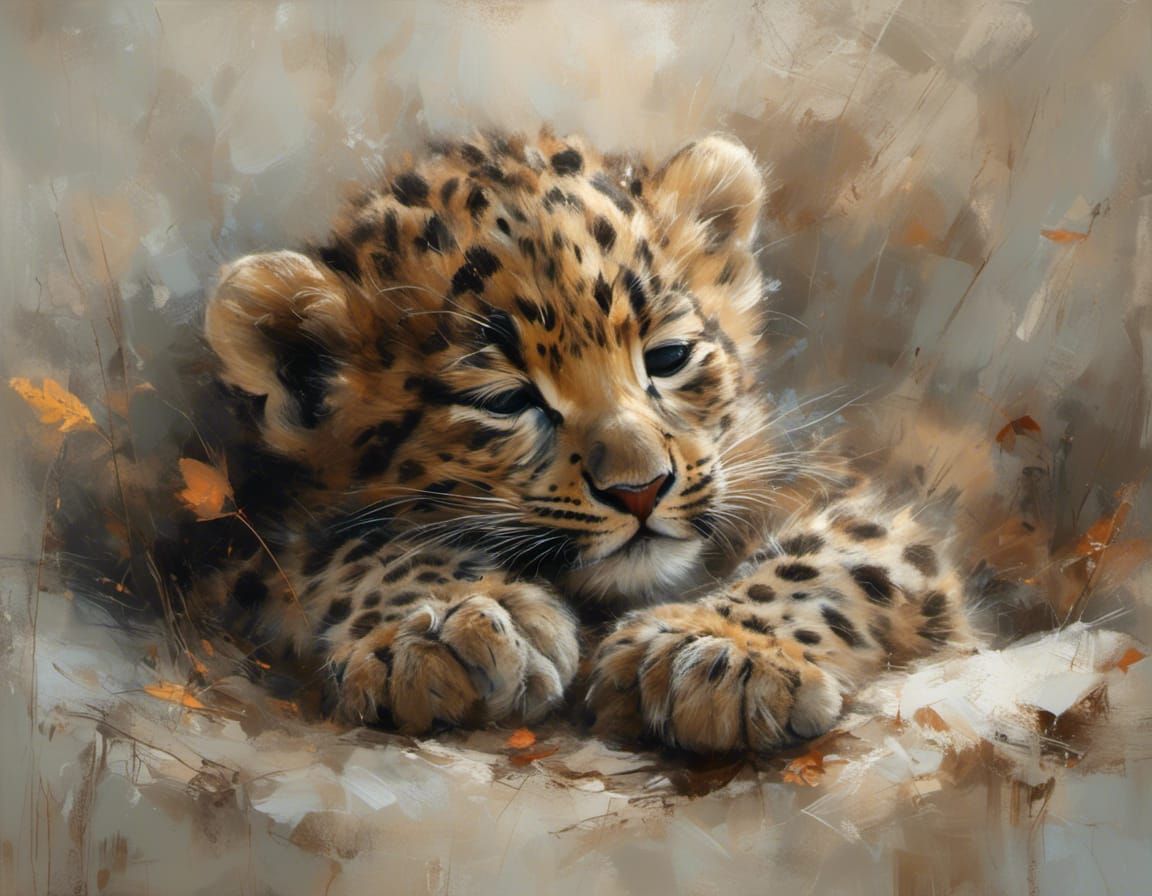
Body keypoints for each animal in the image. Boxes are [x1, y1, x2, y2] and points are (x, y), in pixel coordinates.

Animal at [203, 129, 975, 753]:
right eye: (505, 401)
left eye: (668, 357)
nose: (641, 489)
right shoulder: (250, 553)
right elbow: (346, 547)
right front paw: (448, 627)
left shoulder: (839, 496)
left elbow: (834, 555)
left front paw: (718, 655)